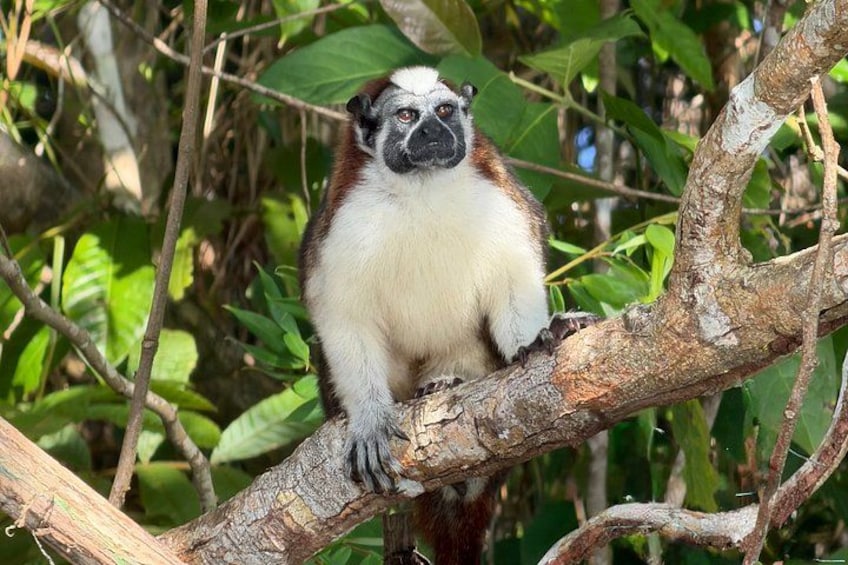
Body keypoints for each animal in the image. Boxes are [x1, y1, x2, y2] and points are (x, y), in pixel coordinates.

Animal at [299, 66, 595, 563]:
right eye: (406, 116)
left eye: (443, 111)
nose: (434, 133)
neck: (423, 189)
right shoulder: (344, 221)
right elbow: (342, 316)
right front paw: (370, 417)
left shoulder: (498, 194)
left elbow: (514, 277)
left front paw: (539, 338)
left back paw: (444, 392)